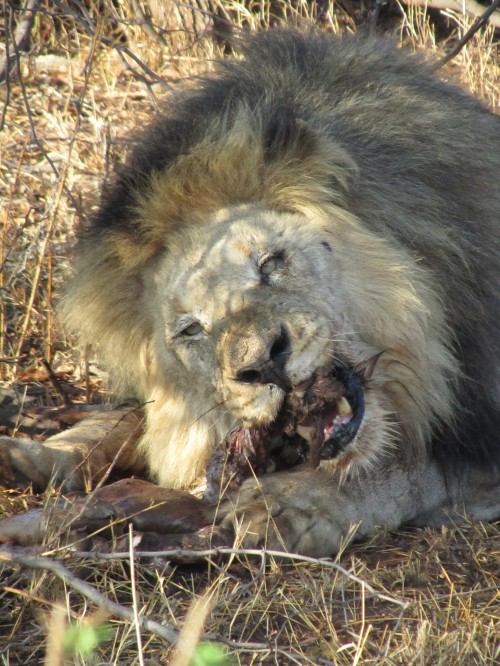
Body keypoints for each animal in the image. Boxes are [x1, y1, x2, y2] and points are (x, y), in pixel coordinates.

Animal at [1, 29, 499, 556]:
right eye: (191, 330)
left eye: (270, 262)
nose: (263, 363)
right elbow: (130, 420)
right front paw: (36, 455)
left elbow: (405, 468)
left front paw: (286, 505)